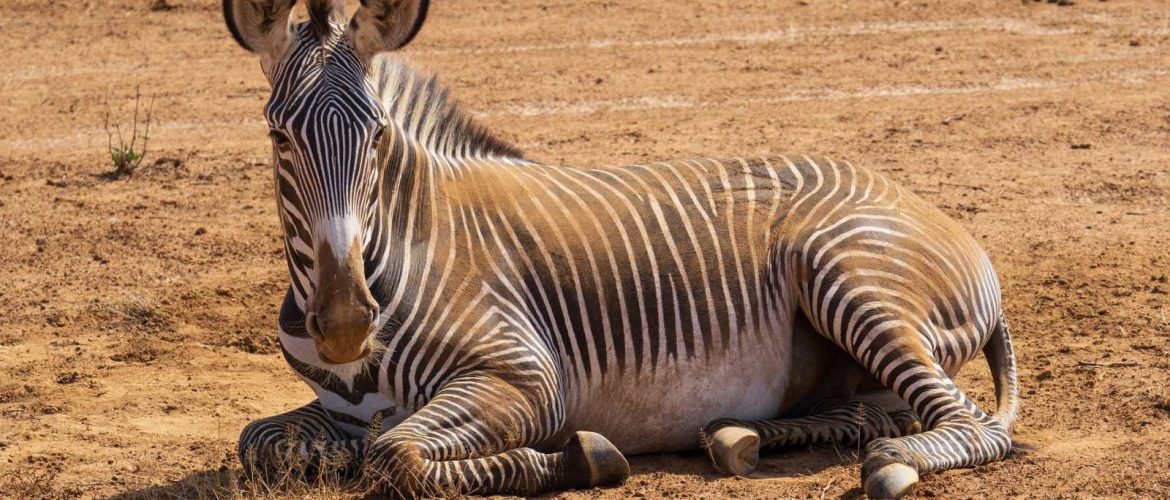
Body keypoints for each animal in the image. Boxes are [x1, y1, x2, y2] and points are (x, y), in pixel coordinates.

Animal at [224, 0, 1020, 498]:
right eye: (277, 136)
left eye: (378, 136)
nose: (346, 325)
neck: (410, 236)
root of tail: (923, 204)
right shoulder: (336, 409)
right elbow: (258, 441)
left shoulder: (525, 376)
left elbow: (396, 458)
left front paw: (578, 458)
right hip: (846, 357)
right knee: (881, 411)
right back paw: (736, 436)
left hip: (849, 275)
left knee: (969, 425)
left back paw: (891, 466)